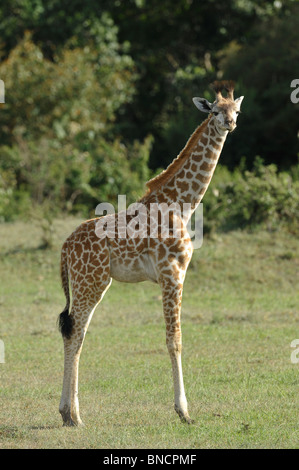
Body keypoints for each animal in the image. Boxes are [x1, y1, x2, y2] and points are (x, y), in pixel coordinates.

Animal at [58, 80, 244, 426]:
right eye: (214, 110)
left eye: (236, 110)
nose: (229, 123)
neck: (183, 204)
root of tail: (65, 247)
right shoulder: (172, 273)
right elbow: (175, 340)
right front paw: (184, 411)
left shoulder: (175, 275)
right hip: (91, 283)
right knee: (75, 333)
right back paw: (72, 415)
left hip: (90, 283)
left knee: (76, 334)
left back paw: (69, 414)